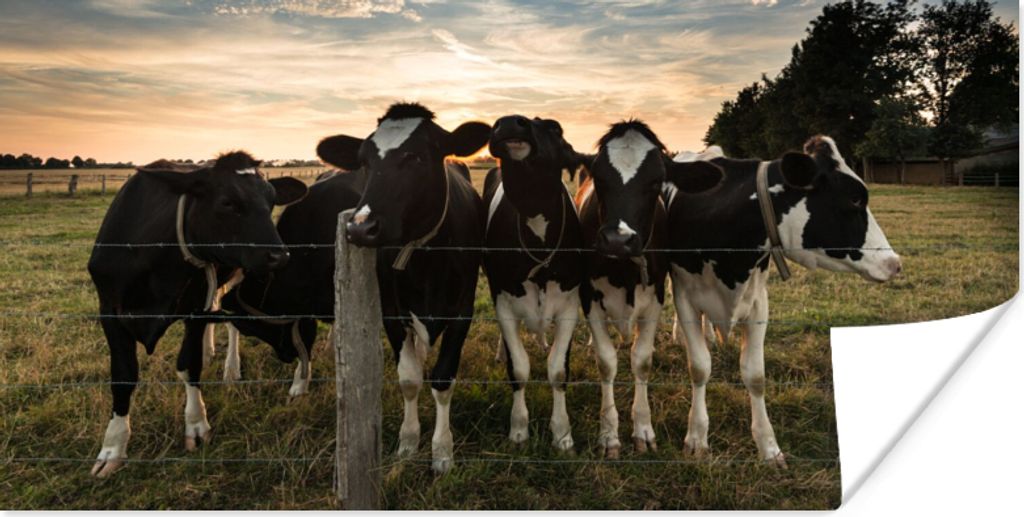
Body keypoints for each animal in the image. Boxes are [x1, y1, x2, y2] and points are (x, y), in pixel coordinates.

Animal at [87, 151, 308, 477]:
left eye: (271, 202)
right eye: (227, 202)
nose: (280, 256)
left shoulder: (195, 309)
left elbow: (188, 364)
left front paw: (195, 425)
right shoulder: (109, 312)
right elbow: (123, 376)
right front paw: (113, 447)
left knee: (231, 321)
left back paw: (231, 367)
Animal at [315, 102, 490, 473]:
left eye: (418, 156)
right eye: (365, 161)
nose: (360, 227)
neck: (425, 264)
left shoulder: (462, 312)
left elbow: (442, 378)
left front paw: (442, 451)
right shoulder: (392, 314)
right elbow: (409, 379)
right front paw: (409, 441)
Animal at [482, 115, 589, 451]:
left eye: (555, 128)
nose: (508, 123)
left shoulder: (569, 303)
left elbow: (558, 370)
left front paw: (562, 433)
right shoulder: (502, 299)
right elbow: (518, 367)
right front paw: (518, 428)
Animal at [576, 120, 723, 459]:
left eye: (656, 181)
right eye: (599, 178)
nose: (617, 240)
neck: (624, 271)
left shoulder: (654, 297)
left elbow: (641, 360)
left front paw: (642, 428)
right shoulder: (588, 296)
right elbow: (606, 361)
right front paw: (609, 435)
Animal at [666, 135, 902, 467]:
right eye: (855, 200)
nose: (895, 263)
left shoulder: (758, 303)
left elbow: (755, 375)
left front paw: (768, 447)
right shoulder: (685, 295)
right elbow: (699, 367)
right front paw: (697, 438)